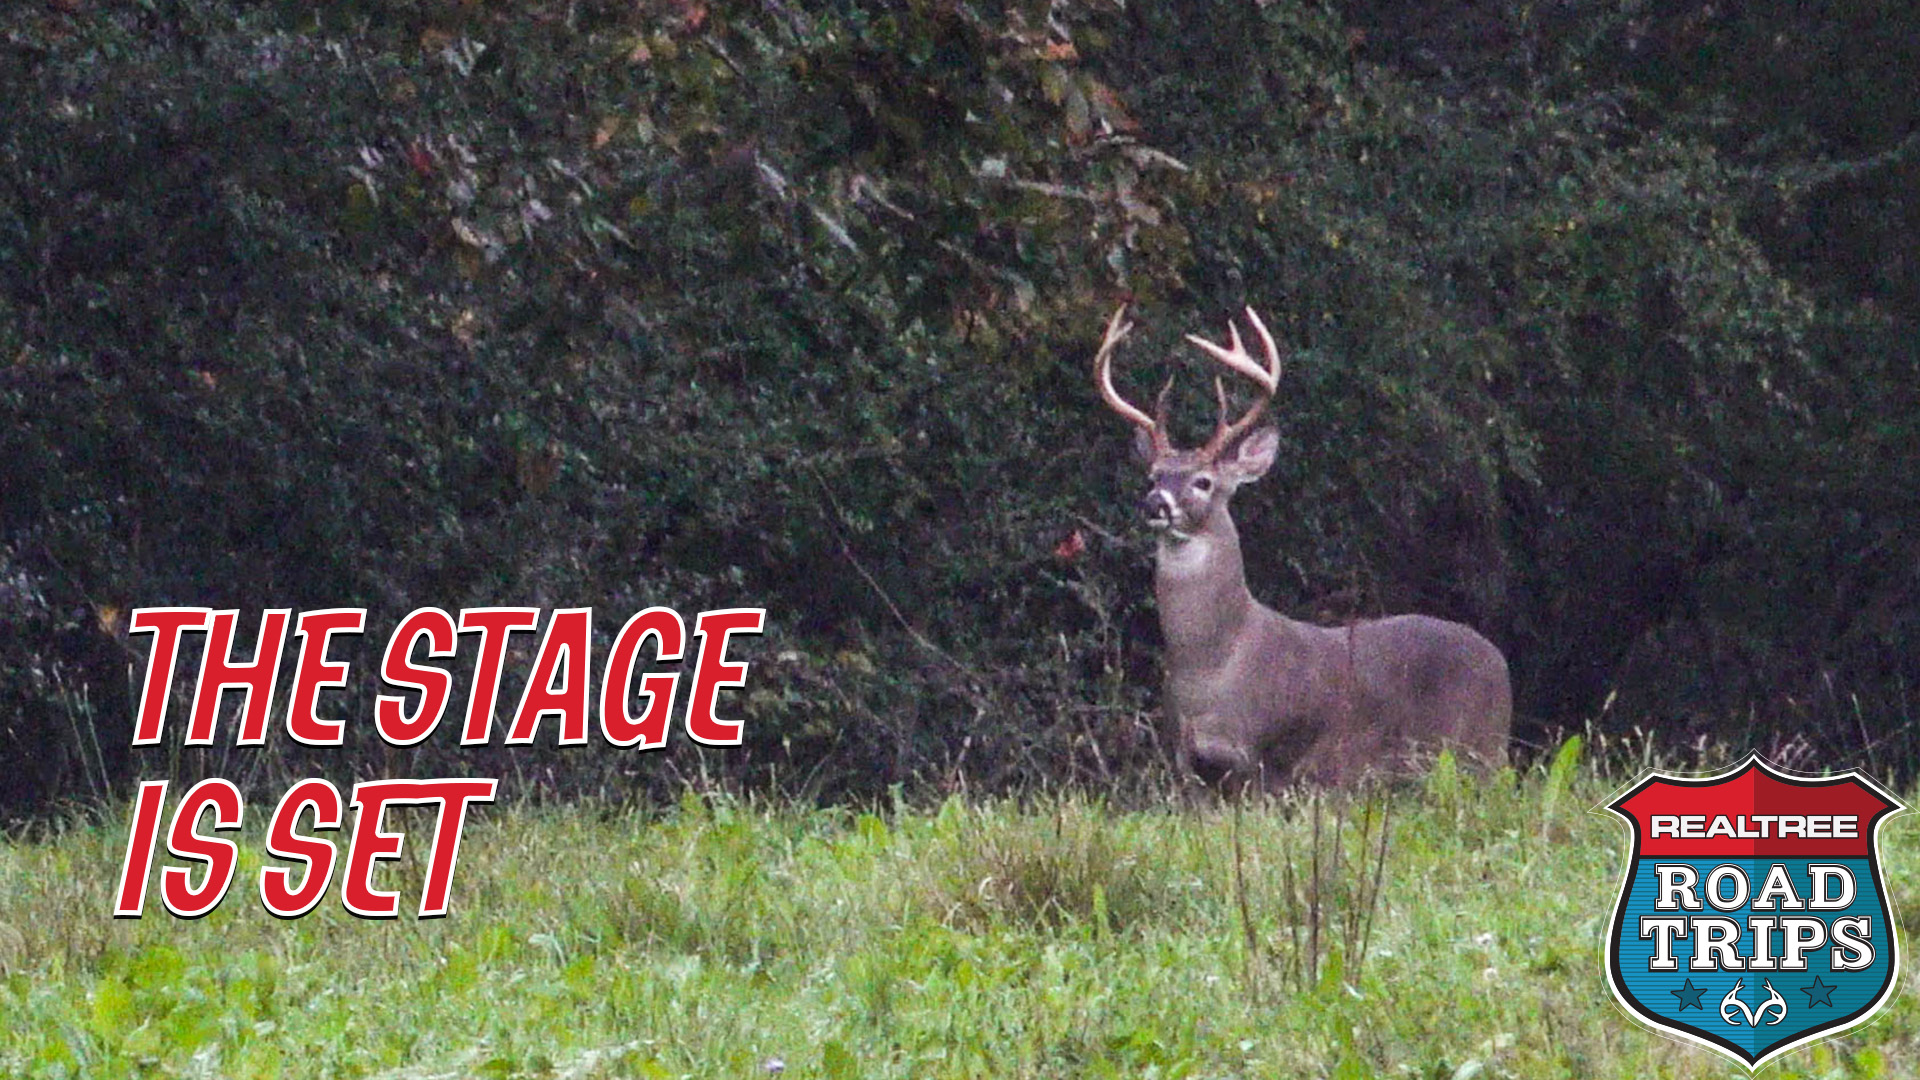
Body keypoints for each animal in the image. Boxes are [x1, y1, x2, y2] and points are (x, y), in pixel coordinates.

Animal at [1093, 305, 1511, 791]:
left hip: (1481, 749)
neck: (1214, 665)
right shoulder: (1184, 758)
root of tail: (1500, 662)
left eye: (1203, 481)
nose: (1155, 504)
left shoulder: (1271, 753)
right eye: (1153, 476)